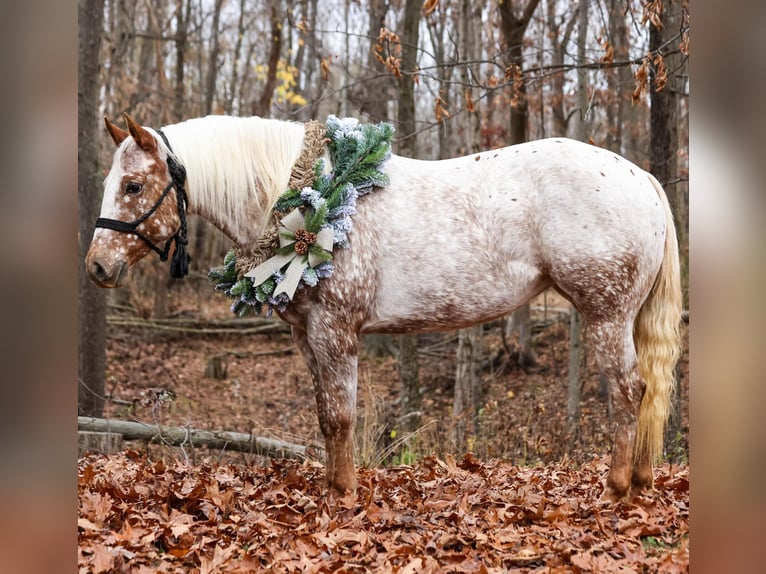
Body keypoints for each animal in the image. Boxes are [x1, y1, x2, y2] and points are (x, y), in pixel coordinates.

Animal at [85, 113, 682, 501]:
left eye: (134, 185)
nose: (97, 267)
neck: (301, 195)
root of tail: (644, 180)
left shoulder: (335, 331)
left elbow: (341, 415)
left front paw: (344, 499)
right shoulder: (309, 336)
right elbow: (327, 416)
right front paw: (333, 491)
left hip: (607, 316)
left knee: (628, 392)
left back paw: (617, 489)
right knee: (644, 392)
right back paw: (640, 484)